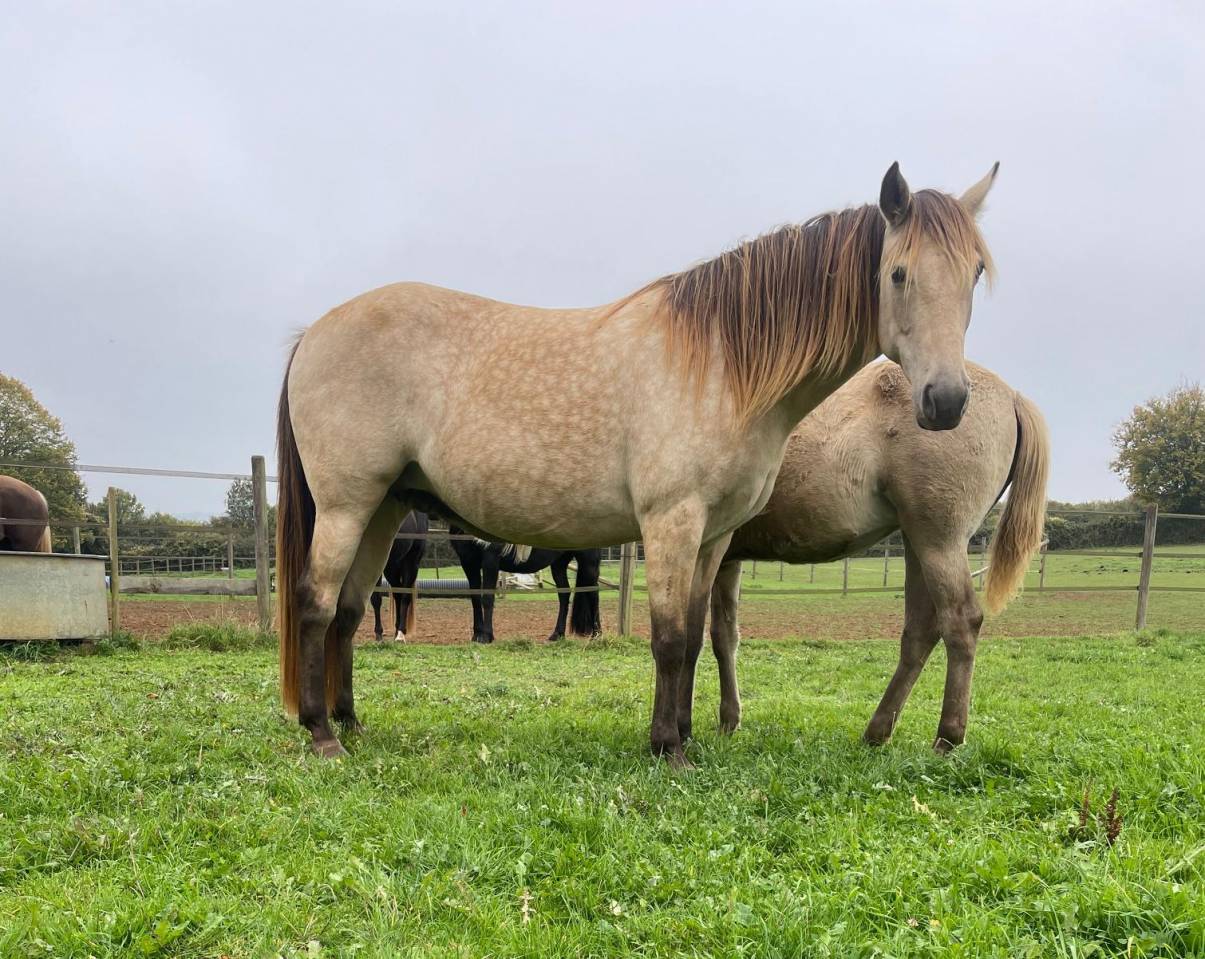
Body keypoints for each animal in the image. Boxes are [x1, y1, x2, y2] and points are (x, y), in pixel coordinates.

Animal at [368, 511, 428, 642]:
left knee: (405, 596)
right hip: (392, 567)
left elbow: (376, 599)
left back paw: (400, 634)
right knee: (398, 594)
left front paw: (379, 634)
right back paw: (396, 632)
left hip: (411, 562)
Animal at [449, 529, 602, 644]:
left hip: (588, 562)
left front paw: (486, 636)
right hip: (558, 565)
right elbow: (475, 599)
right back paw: (557, 635)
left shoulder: (490, 560)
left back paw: (597, 635)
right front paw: (477, 635)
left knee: (593, 594)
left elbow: (487, 598)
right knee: (564, 595)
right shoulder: (468, 563)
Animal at [708, 360, 1049, 752]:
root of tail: (1012, 396)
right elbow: (724, 637)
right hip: (919, 544)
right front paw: (729, 721)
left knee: (961, 622)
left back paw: (947, 737)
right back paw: (878, 730)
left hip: (939, 542)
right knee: (921, 631)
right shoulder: (726, 557)